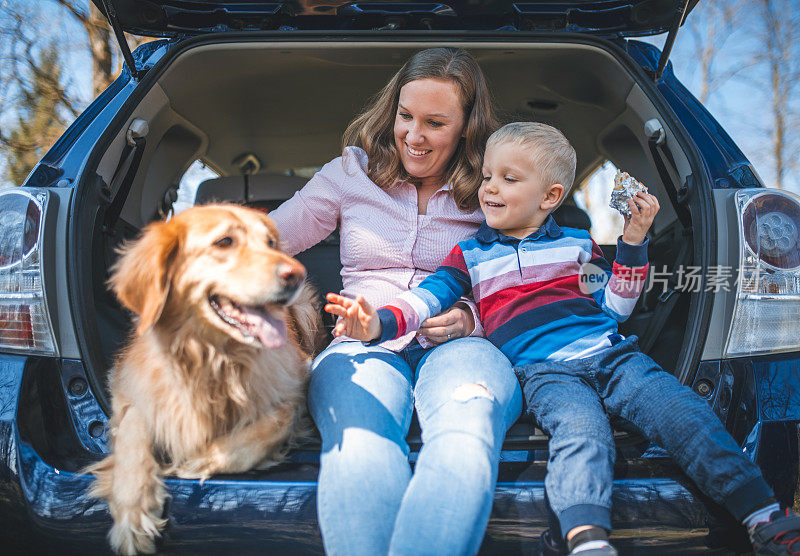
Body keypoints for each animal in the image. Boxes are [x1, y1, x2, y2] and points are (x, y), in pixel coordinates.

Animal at [86, 202, 320, 552]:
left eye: (270, 243)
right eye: (224, 242)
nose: (296, 273)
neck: (214, 359)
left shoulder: (297, 380)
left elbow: (274, 422)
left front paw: (196, 462)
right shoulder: (127, 381)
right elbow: (133, 425)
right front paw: (133, 507)